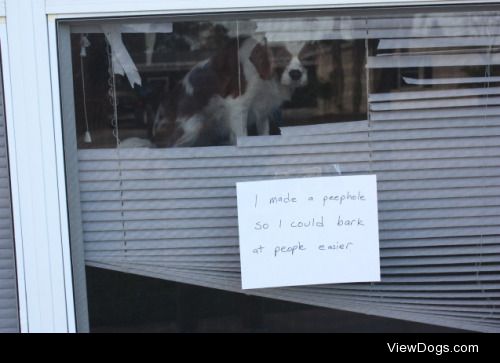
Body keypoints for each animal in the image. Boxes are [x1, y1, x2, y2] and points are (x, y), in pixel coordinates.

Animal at [150, 35, 310, 146]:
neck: (268, 77)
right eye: (281, 57)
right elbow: (242, 135)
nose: (296, 74)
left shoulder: (263, 110)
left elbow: (263, 133)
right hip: (193, 126)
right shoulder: (238, 106)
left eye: (306, 57)